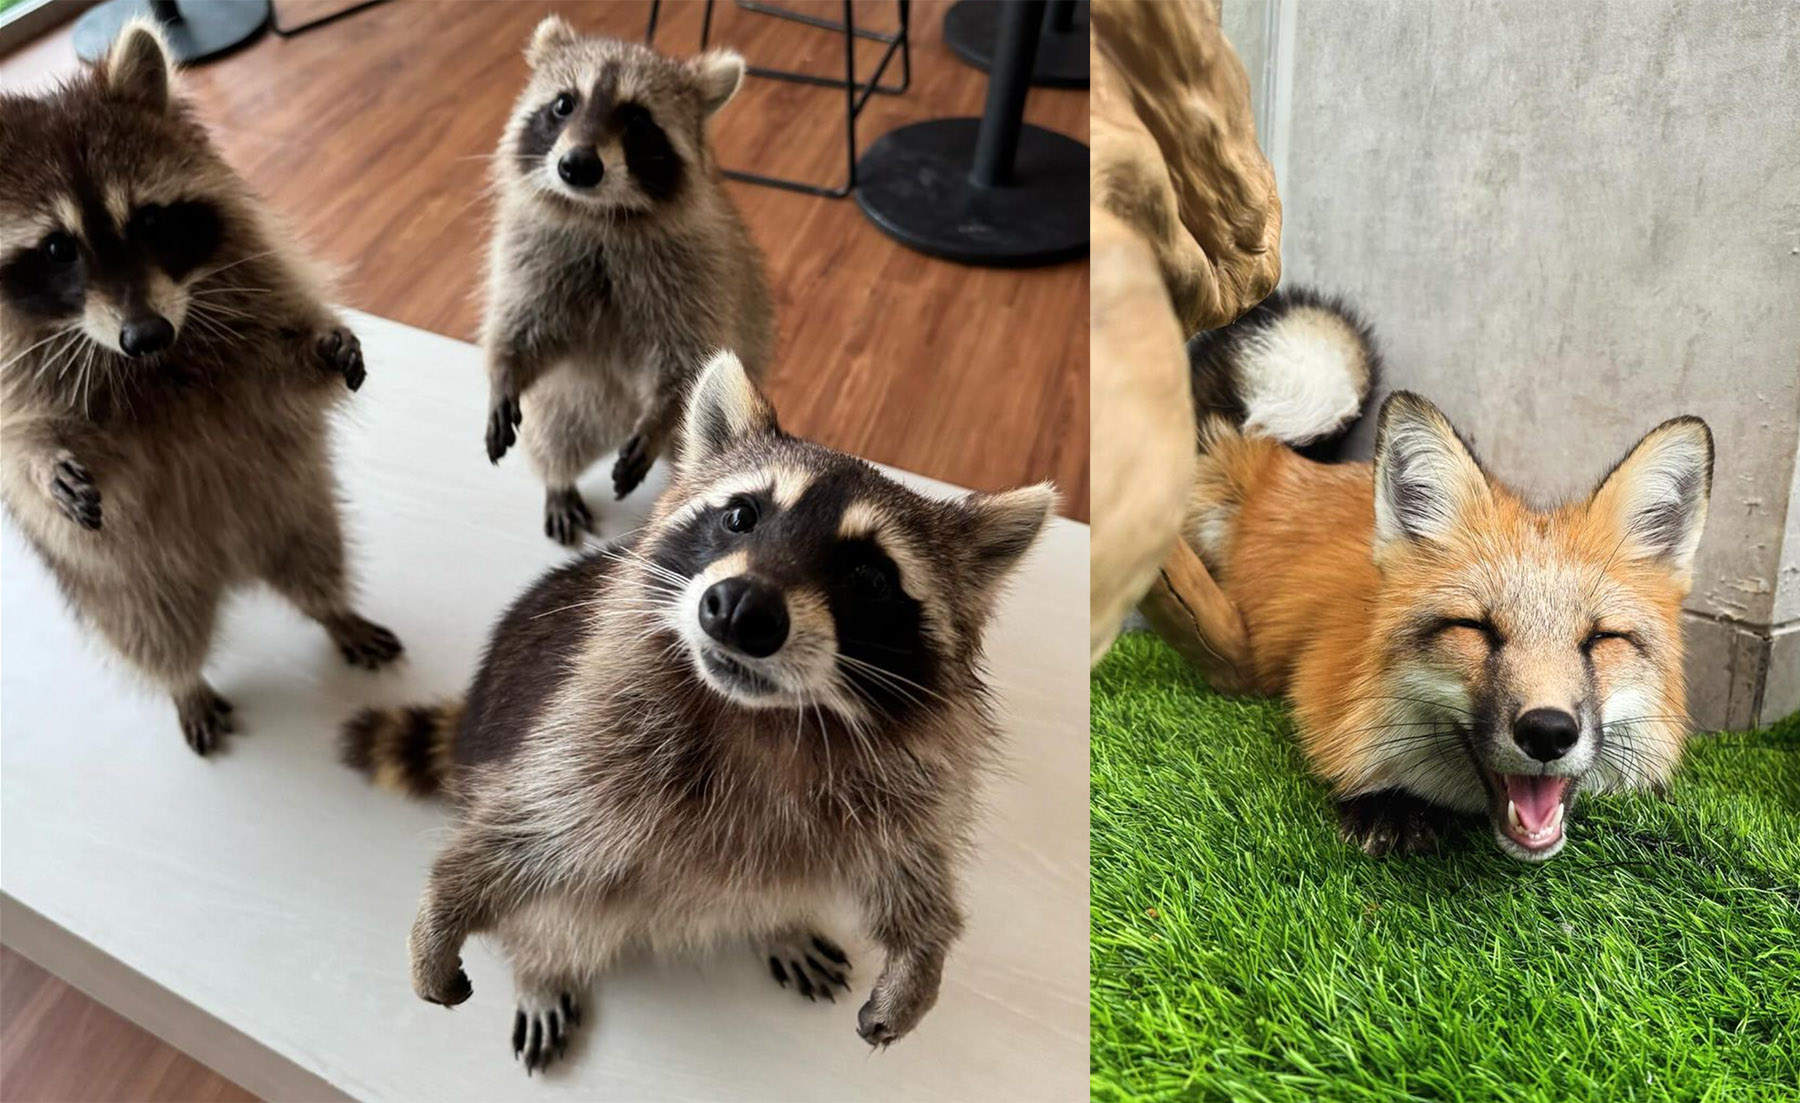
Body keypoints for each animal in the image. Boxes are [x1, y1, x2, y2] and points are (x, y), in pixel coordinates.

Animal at [340, 349, 1054, 1072]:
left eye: (870, 577)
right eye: (741, 516)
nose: (741, 608)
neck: (765, 718)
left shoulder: (906, 779)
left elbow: (909, 865)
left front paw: (922, 950)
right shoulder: (586, 735)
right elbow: (527, 832)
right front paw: (449, 904)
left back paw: (780, 922)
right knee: (555, 912)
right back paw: (542, 968)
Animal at [1163, 289, 1711, 861]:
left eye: (1602, 639)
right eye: (1475, 629)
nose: (1547, 731)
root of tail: (1277, 456)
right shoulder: (1317, 677)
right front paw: (1390, 807)